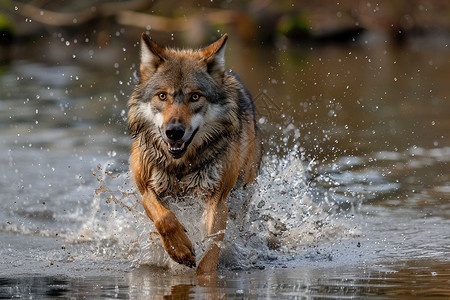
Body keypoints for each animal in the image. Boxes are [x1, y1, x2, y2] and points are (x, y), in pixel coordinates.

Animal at [126, 33, 262, 274]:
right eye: (162, 96)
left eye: (195, 97)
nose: (174, 131)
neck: (180, 165)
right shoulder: (146, 189)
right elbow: (165, 219)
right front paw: (180, 250)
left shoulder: (217, 198)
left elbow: (212, 247)